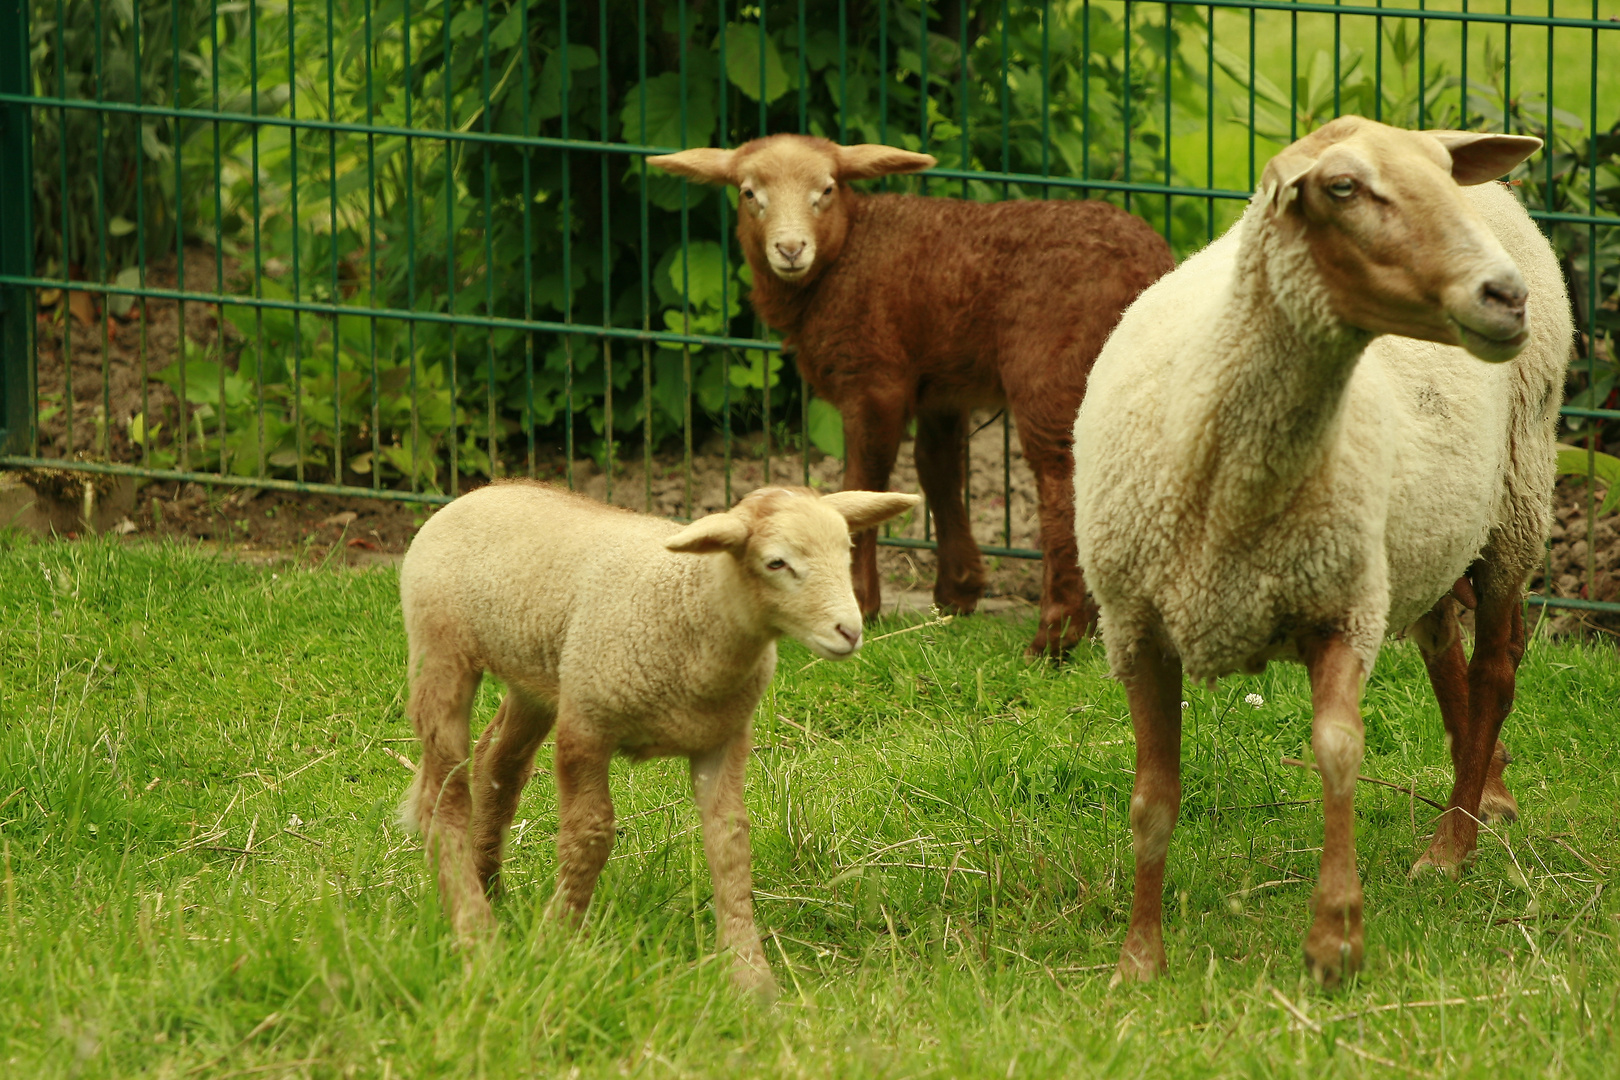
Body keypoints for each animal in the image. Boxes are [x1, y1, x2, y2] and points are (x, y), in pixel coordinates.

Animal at [398, 482, 920, 997]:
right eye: (776, 563)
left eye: (847, 550)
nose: (849, 631)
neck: (690, 606)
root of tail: (478, 492)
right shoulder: (586, 726)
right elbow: (590, 834)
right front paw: (557, 939)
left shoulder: (722, 740)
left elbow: (730, 844)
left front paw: (749, 974)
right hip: (441, 651)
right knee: (444, 798)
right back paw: (476, 932)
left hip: (539, 679)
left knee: (498, 765)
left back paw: (488, 884)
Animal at [651, 135, 1172, 660]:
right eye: (749, 194)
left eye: (827, 189)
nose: (791, 248)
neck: (846, 255)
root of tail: (1148, 263)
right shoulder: (940, 385)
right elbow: (938, 469)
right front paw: (958, 591)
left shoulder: (875, 375)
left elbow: (866, 476)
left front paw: (862, 596)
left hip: (1051, 365)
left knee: (1059, 479)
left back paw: (1056, 635)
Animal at [1075, 118, 1568, 990]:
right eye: (1343, 188)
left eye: (1440, 175)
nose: (1505, 297)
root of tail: (1509, 201)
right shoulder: (1133, 627)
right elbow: (1152, 798)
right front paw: (1139, 960)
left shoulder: (1341, 610)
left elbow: (1338, 753)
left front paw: (1335, 940)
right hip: (1422, 535)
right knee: (1445, 650)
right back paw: (1486, 791)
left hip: (1517, 499)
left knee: (1494, 669)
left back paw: (1454, 843)